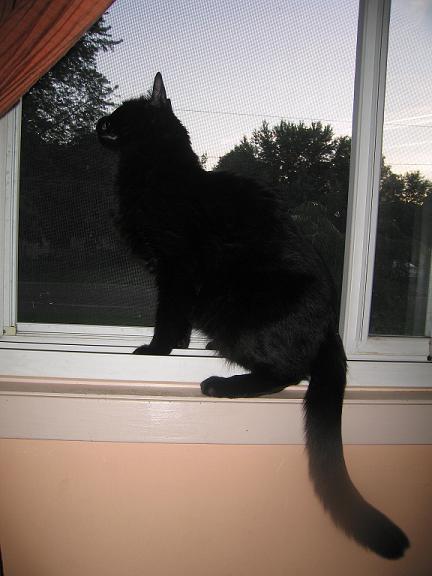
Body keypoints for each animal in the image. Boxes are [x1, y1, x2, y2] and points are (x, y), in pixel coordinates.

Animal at [96, 72, 409, 559]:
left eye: (120, 112)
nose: (97, 123)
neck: (157, 172)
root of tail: (330, 328)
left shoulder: (176, 267)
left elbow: (168, 313)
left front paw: (157, 349)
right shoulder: (172, 273)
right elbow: (177, 317)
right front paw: (178, 345)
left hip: (240, 314)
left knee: (287, 374)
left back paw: (222, 385)